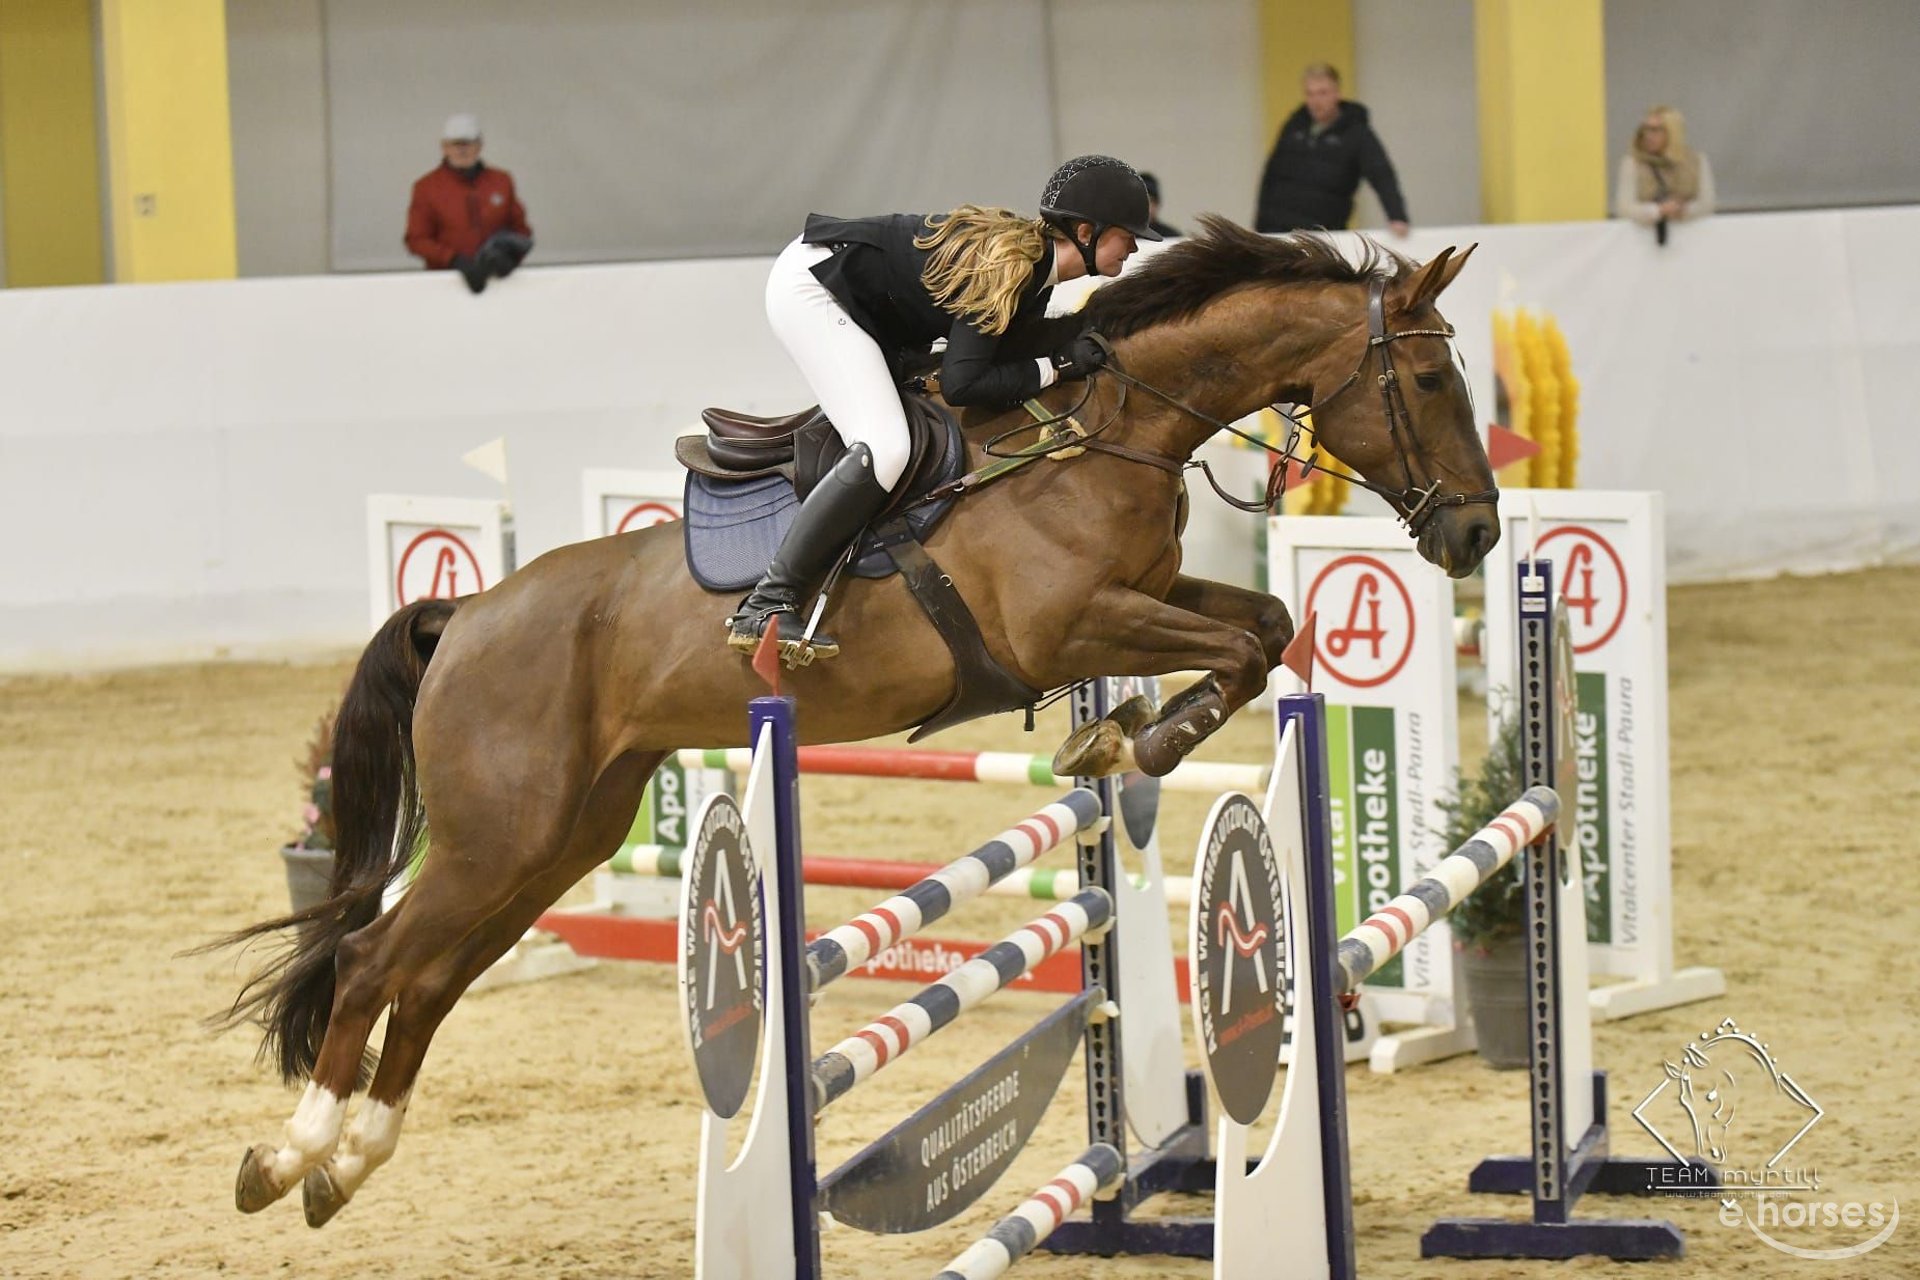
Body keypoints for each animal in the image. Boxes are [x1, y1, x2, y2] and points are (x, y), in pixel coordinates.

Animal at [214, 214, 1497, 1228]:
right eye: (1434, 384)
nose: (1477, 532)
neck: (1104, 429)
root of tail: (469, 611)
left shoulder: (1144, 597)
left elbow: (1268, 623)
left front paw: (1124, 736)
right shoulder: (1069, 628)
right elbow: (1235, 647)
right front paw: (1141, 739)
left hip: (558, 837)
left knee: (429, 975)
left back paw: (347, 1163)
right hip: (501, 832)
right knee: (376, 957)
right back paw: (288, 1153)